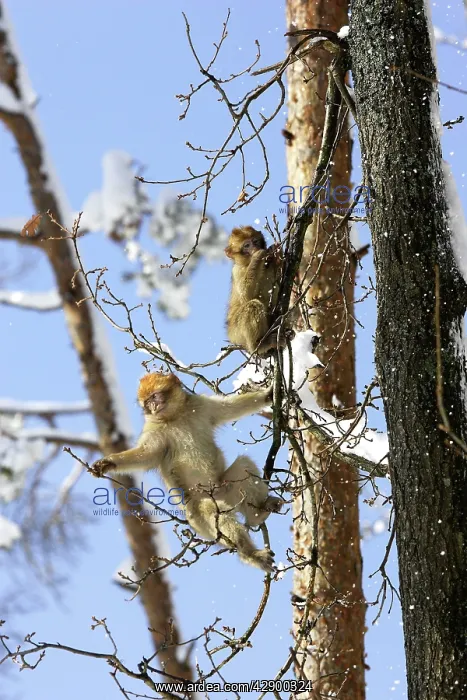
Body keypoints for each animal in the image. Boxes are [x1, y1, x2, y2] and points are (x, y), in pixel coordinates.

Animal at [91, 372, 282, 572]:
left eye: (155, 397)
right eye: (147, 402)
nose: (152, 407)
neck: (176, 416)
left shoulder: (201, 405)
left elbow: (231, 408)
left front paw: (269, 394)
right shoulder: (155, 431)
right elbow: (146, 455)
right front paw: (108, 462)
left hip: (225, 489)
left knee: (244, 466)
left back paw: (257, 513)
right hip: (198, 519)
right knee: (210, 510)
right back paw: (250, 553)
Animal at [225, 226, 286, 356]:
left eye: (255, 241)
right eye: (246, 245)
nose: (255, 247)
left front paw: (277, 253)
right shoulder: (237, 271)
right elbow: (246, 295)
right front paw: (258, 255)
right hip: (236, 332)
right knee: (252, 305)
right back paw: (260, 345)